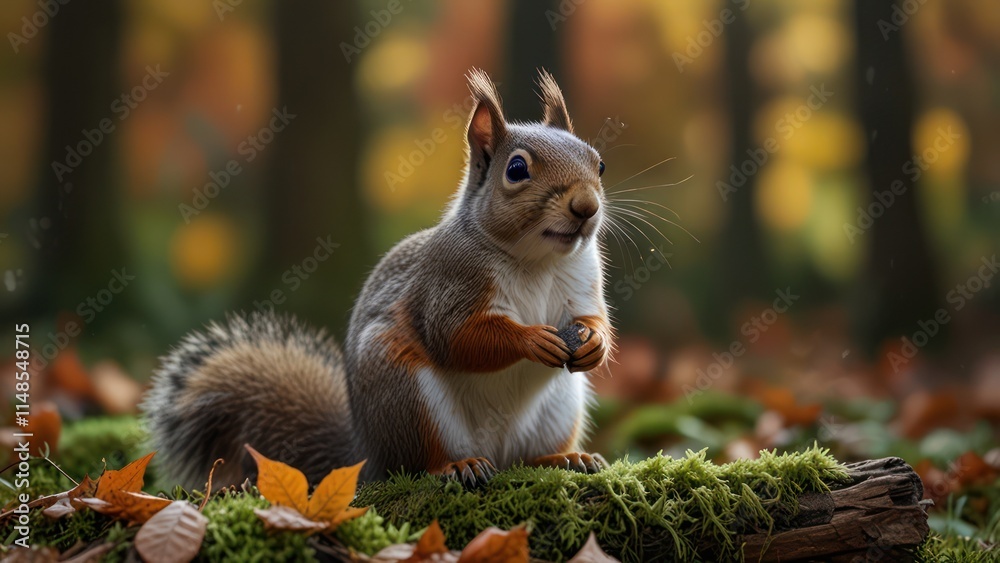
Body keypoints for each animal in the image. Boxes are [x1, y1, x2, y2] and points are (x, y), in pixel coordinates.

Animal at [142, 69, 613, 489]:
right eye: (516, 170)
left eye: (600, 164)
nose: (586, 207)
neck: (538, 261)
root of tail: (367, 456)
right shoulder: (450, 282)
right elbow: (458, 337)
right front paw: (531, 339)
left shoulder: (583, 281)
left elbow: (595, 319)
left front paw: (593, 341)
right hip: (403, 392)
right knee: (420, 462)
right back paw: (456, 466)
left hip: (559, 406)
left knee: (529, 456)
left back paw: (565, 458)